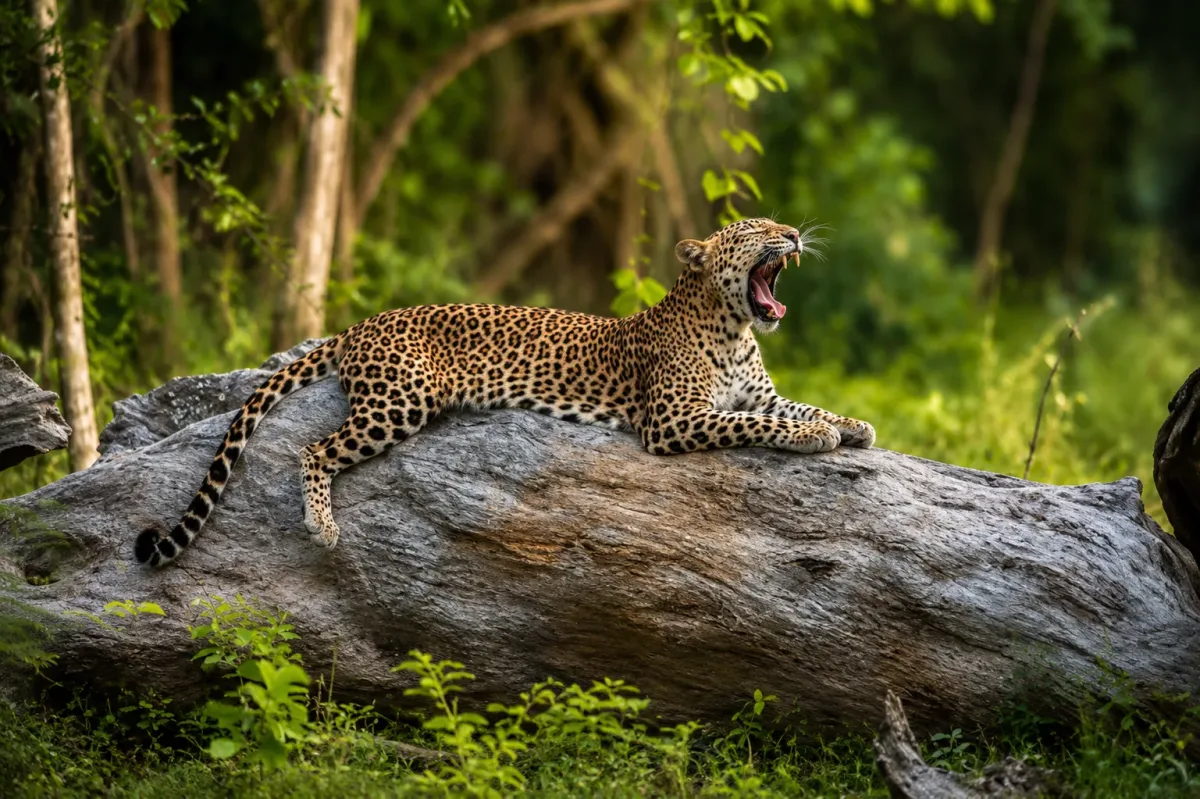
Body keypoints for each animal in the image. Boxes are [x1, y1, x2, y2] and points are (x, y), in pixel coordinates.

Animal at [134, 217, 876, 567]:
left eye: (778, 226)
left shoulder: (757, 394)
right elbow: (761, 426)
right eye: (754, 231)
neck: (733, 327)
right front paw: (817, 436)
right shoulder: (673, 420)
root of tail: (358, 325)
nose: (792, 234)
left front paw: (852, 423)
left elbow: (796, 406)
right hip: (399, 401)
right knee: (314, 448)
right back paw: (322, 526)